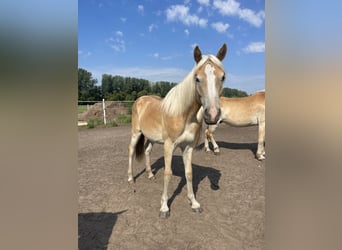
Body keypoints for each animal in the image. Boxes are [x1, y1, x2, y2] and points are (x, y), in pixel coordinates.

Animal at [127, 44, 227, 218]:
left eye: (223, 77)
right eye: (197, 78)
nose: (212, 115)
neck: (184, 115)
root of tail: (140, 100)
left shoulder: (188, 147)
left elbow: (189, 173)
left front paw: (194, 203)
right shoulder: (169, 146)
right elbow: (167, 173)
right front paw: (164, 207)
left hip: (151, 138)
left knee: (146, 151)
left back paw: (150, 174)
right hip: (136, 133)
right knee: (131, 151)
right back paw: (131, 179)